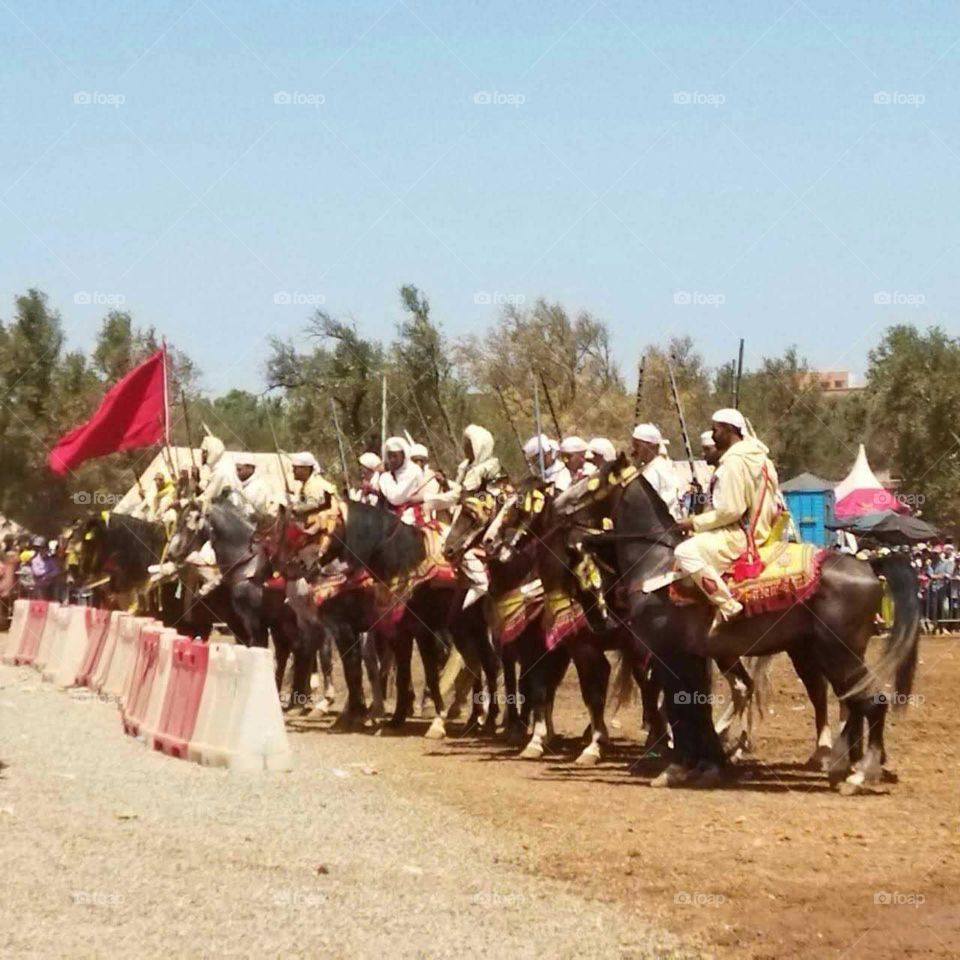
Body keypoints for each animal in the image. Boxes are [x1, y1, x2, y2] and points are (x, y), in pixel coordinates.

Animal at [564, 462, 924, 792]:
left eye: (593, 480)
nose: (563, 504)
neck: (657, 565)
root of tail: (868, 563)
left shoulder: (669, 654)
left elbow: (680, 707)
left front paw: (676, 768)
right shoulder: (693, 657)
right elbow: (694, 707)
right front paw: (704, 763)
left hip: (839, 653)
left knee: (871, 701)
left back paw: (859, 773)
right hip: (829, 654)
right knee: (853, 701)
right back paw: (845, 765)